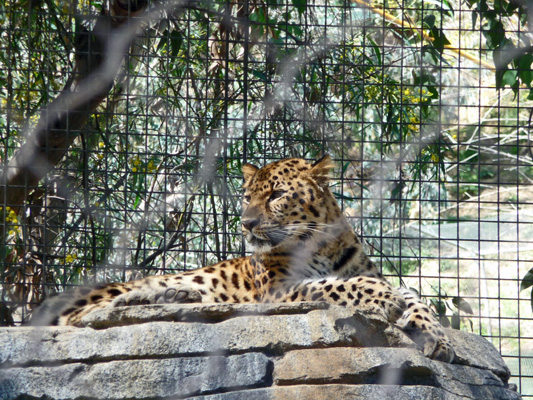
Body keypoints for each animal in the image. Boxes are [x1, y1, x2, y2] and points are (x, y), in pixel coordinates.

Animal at [31, 155, 454, 362]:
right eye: (247, 196)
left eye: (277, 195)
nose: (246, 223)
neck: (321, 244)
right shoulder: (280, 290)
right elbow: (336, 285)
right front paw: (385, 299)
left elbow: (417, 298)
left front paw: (435, 336)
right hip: (103, 297)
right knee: (89, 316)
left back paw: (181, 297)